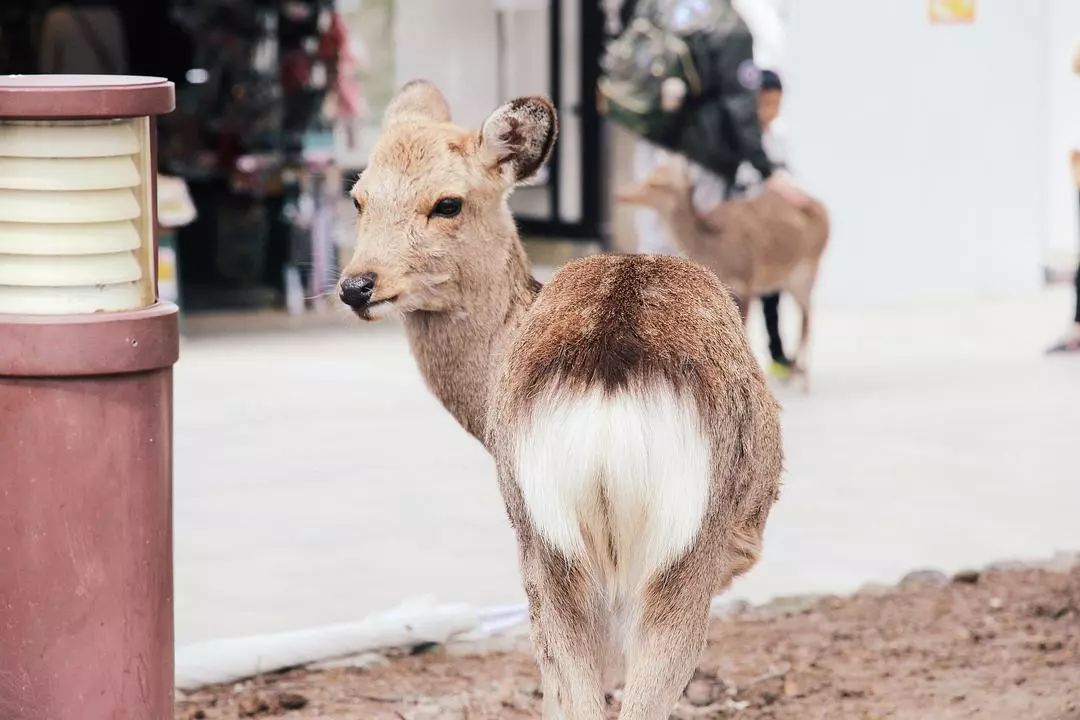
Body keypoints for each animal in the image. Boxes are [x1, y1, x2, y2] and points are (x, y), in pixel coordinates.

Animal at [332, 80, 781, 720]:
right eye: (359, 198)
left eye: (449, 203)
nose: (357, 286)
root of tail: (609, 392)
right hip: (680, 540)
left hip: (552, 539)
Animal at [617, 162, 825, 388]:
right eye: (649, 176)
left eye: (655, 183)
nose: (622, 194)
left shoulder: (747, 282)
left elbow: (742, 332)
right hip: (788, 279)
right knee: (804, 315)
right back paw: (795, 373)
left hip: (808, 269)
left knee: (807, 317)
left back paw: (802, 379)